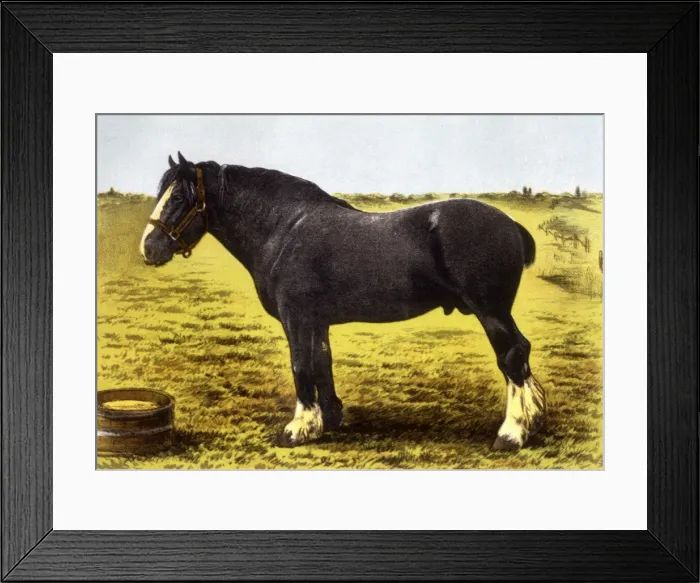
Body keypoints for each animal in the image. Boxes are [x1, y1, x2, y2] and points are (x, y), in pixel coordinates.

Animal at [140, 152, 546, 450]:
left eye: (179, 197)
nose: (149, 248)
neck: (284, 229)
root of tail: (510, 223)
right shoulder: (317, 321)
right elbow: (323, 363)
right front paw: (329, 420)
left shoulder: (296, 318)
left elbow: (301, 366)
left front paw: (297, 429)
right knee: (521, 354)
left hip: (491, 312)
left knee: (512, 357)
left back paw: (511, 434)